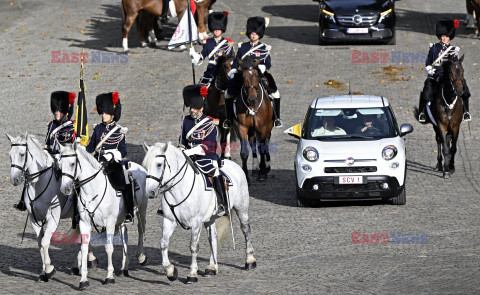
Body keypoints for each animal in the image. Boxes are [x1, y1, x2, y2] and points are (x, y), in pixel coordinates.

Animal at [5, 134, 98, 282]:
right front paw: (44, 272)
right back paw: (83, 262)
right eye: (9, 155)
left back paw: (84, 261)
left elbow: (45, 242)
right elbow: (40, 243)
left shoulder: (53, 218)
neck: (40, 182)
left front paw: (49, 269)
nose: (14, 180)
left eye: (22, 154)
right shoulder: (34, 219)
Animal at [58, 144, 148, 292]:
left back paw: (140, 256)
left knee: (141, 230)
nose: (64, 189)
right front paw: (83, 279)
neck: (93, 190)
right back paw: (124, 267)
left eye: (72, 163)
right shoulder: (84, 223)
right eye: (60, 165)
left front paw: (109, 277)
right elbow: (84, 247)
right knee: (125, 236)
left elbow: (109, 248)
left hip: (142, 210)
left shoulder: (110, 222)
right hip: (122, 219)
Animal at [142, 143, 255, 284]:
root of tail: (235, 165)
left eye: (158, 164)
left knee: (246, 230)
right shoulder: (169, 220)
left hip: (241, 209)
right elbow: (163, 243)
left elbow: (194, 246)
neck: (179, 189)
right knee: (213, 237)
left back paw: (250, 261)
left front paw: (192, 274)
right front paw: (170, 271)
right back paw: (212, 267)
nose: (149, 192)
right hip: (210, 218)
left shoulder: (196, 223)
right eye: (145, 166)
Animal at [235, 56, 276, 184]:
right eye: (243, 77)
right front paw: (246, 176)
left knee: (264, 144)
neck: (252, 106)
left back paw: (266, 166)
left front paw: (263, 173)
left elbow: (262, 148)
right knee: (253, 144)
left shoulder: (263, 127)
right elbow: (244, 152)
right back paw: (255, 167)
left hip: (268, 127)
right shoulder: (242, 127)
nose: (252, 99)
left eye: (257, 76)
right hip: (252, 129)